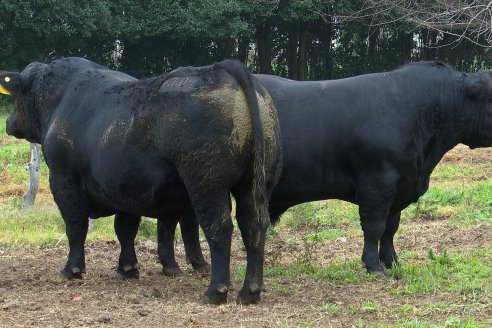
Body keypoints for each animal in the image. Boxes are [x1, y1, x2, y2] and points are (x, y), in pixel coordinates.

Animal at [0, 57, 280, 304]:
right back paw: (250, 292)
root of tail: (221, 68)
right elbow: (125, 229)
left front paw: (72, 270)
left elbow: (75, 227)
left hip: (207, 183)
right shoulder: (126, 186)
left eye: (16, 96)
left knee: (219, 228)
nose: (9, 122)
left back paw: (215, 292)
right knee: (253, 226)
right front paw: (128, 268)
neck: (60, 100)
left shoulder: (63, 178)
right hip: (253, 184)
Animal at [160, 60, 492, 276]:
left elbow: (391, 228)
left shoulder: (400, 186)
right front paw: (374, 266)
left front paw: (392, 262)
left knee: (183, 220)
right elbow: (374, 226)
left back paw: (193, 263)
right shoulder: (378, 182)